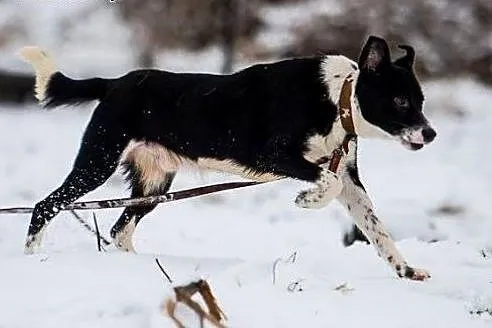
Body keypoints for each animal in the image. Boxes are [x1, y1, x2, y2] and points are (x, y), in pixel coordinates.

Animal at [19, 36, 436, 282]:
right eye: (401, 100)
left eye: (421, 100)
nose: (430, 133)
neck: (336, 98)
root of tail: (114, 83)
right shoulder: (271, 153)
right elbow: (326, 182)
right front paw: (306, 199)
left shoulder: (350, 179)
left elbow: (377, 230)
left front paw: (407, 270)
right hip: (97, 163)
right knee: (45, 205)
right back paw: (30, 259)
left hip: (154, 185)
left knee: (120, 229)